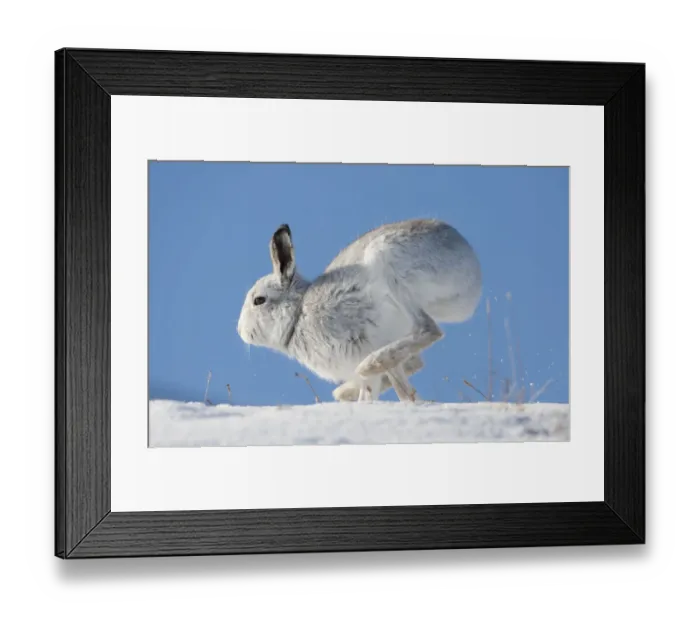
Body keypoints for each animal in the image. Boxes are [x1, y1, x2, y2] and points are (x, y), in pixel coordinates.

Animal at [236, 219, 482, 402]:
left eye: (259, 300)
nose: (241, 331)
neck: (297, 315)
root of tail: (472, 264)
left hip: (386, 260)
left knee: (429, 329)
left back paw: (371, 363)